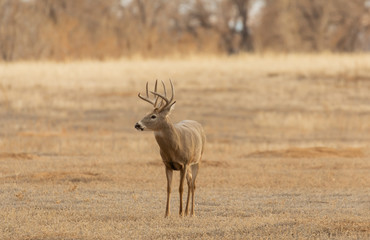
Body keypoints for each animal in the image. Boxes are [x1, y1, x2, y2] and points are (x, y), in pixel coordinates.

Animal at [135, 79, 207, 217]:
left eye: (153, 116)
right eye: (146, 113)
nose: (137, 124)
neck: (175, 147)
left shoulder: (184, 163)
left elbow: (180, 188)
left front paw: (180, 213)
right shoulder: (167, 164)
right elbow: (169, 188)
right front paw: (167, 214)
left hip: (197, 160)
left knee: (193, 184)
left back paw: (191, 213)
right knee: (190, 182)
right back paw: (187, 211)